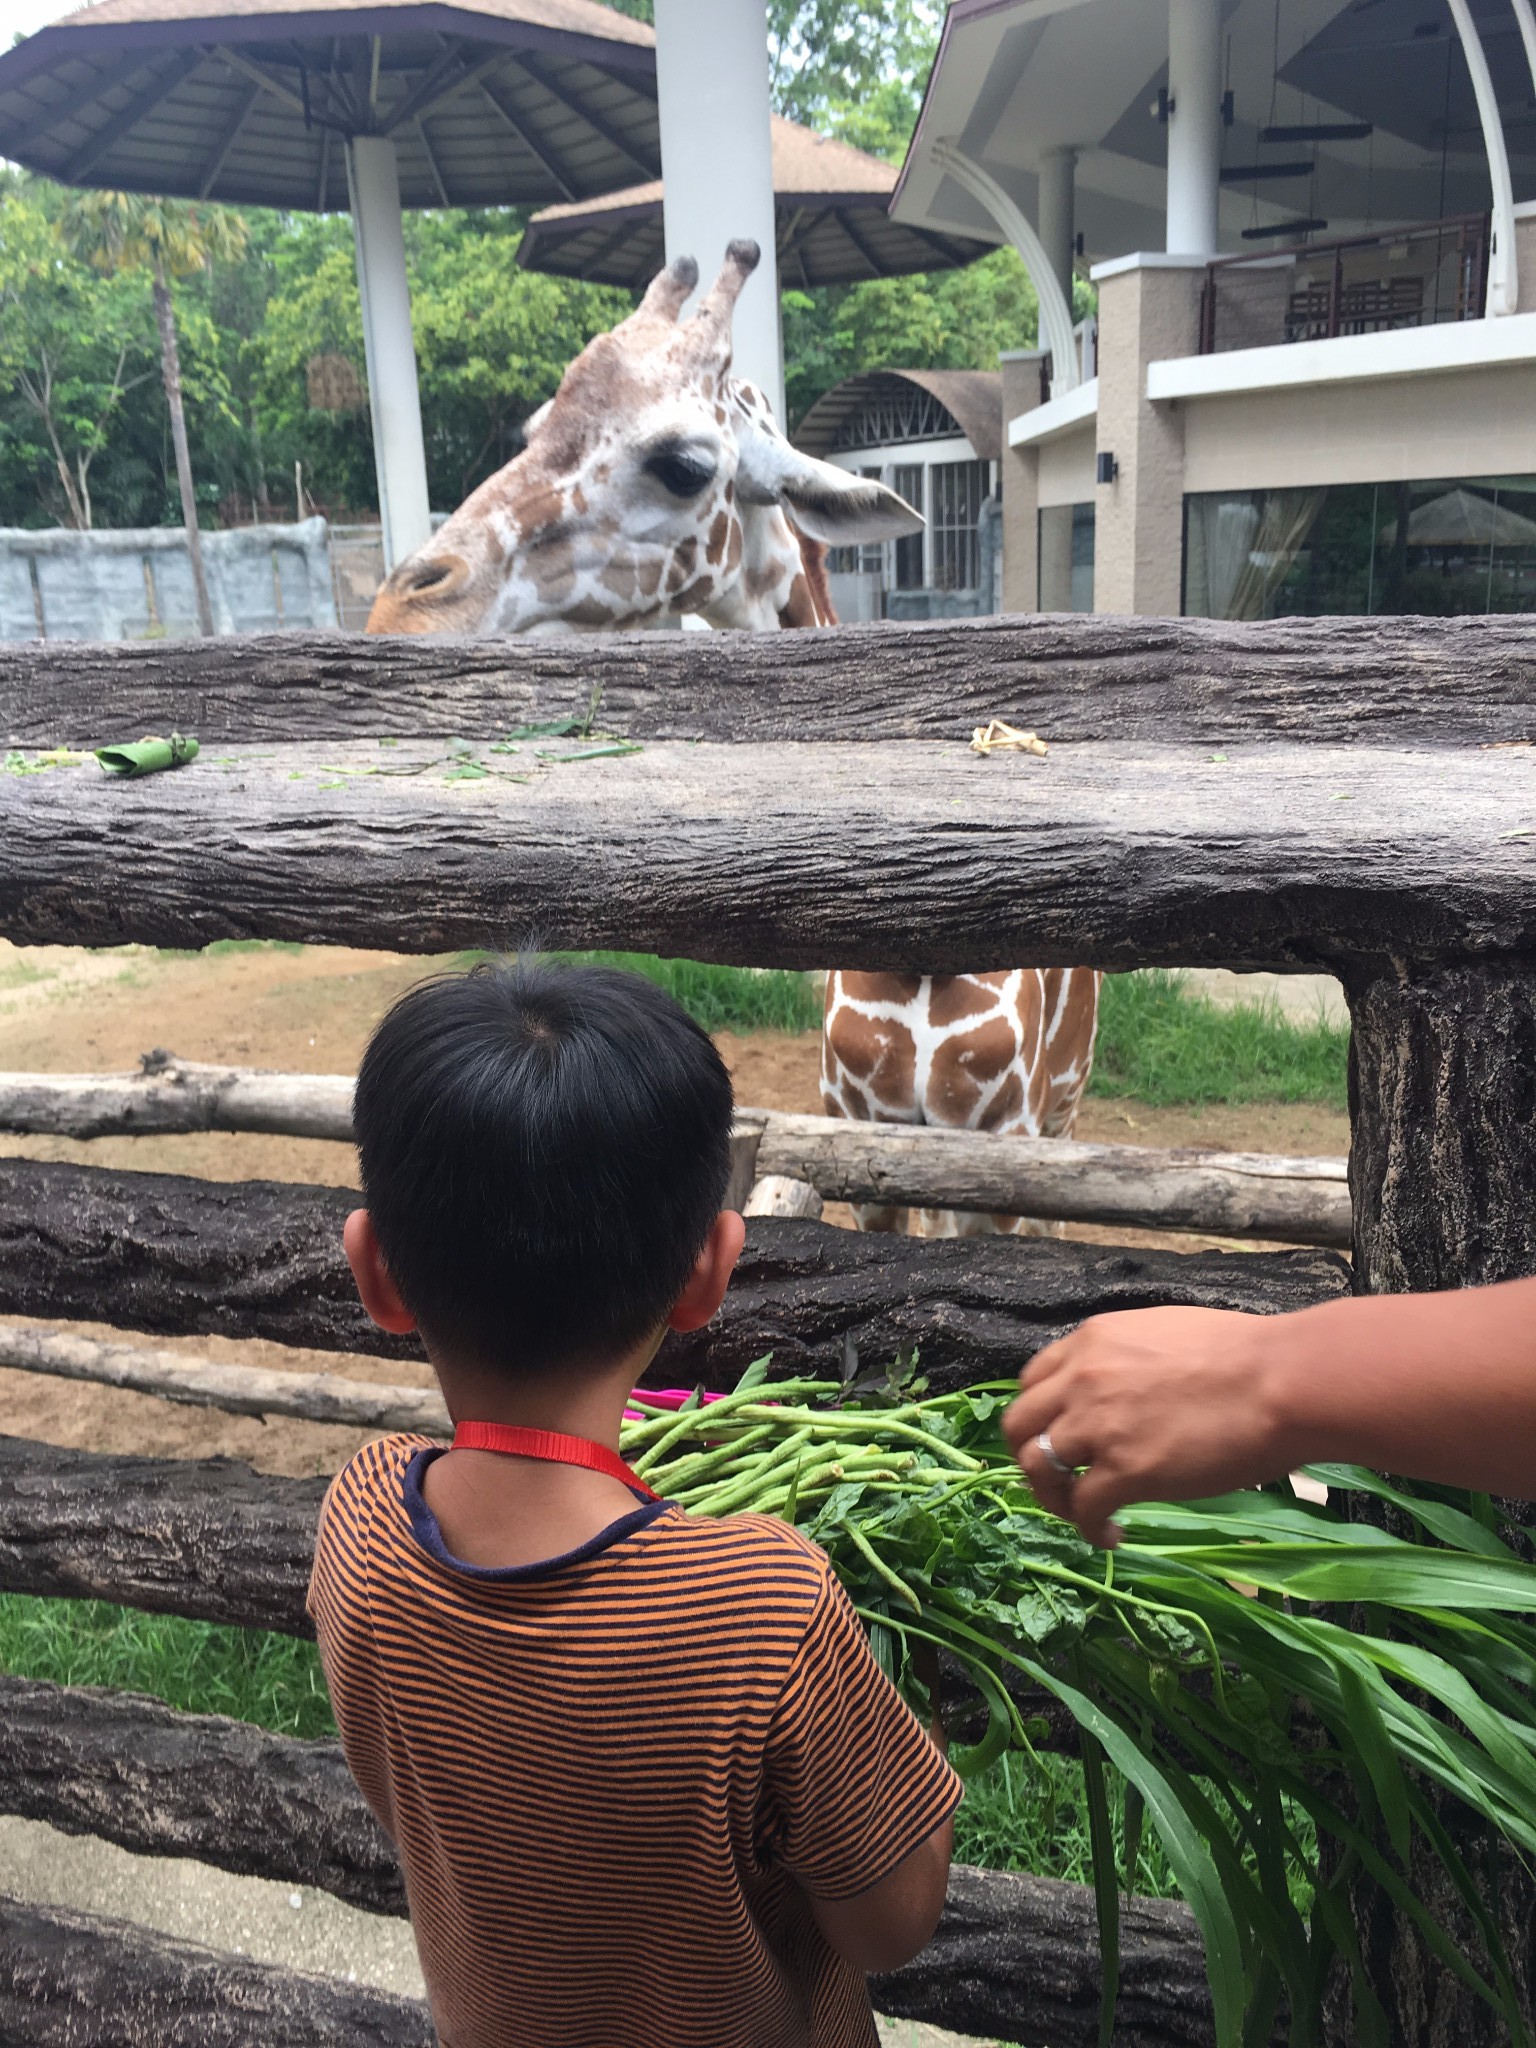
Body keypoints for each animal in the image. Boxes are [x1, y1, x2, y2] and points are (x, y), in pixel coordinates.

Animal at [366, 235, 1097, 1228]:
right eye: (534, 426)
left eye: (682, 462)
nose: (403, 611)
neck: (919, 957)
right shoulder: (858, 1119)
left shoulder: (993, 1134)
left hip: (1059, 1104)